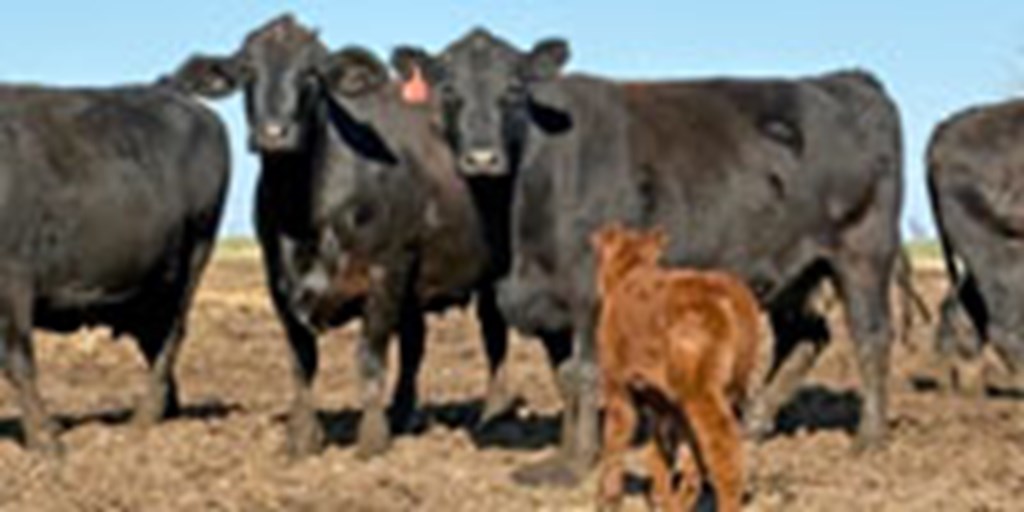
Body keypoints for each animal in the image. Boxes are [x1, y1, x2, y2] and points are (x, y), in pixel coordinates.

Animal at [0, 74, 230, 454]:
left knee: (170, 338)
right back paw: (167, 410)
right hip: (154, 287)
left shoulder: (13, 279)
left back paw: (144, 418)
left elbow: (18, 360)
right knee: (155, 338)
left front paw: (44, 438)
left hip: (193, 258)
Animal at [176, 14, 516, 456]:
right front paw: (303, 437)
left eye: (312, 73)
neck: (305, 215)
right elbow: (301, 361)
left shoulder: (386, 269)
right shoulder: (278, 281)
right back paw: (403, 414)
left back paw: (495, 413)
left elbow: (370, 357)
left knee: (494, 336)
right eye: (248, 70)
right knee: (415, 345)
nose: (274, 133)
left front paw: (371, 439)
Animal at [395, 28, 901, 483]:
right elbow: (563, 377)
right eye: (448, 89)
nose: (483, 158)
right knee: (807, 336)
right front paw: (562, 457)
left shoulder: (590, 293)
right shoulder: (548, 302)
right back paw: (752, 423)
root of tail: (847, 79)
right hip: (793, 268)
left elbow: (584, 373)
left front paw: (579, 464)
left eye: (514, 88)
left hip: (863, 252)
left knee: (871, 336)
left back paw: (869, 438)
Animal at [593, 225, 761, 512]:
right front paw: (661, 498)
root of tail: (731, 294)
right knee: (706, 451)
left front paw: (608, 499)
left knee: (724, 449)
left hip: (701, 391)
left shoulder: (616, 384)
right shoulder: (664, 401)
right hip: (727, 389)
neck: (629, 273)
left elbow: (615, 438)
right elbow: (662, 449)